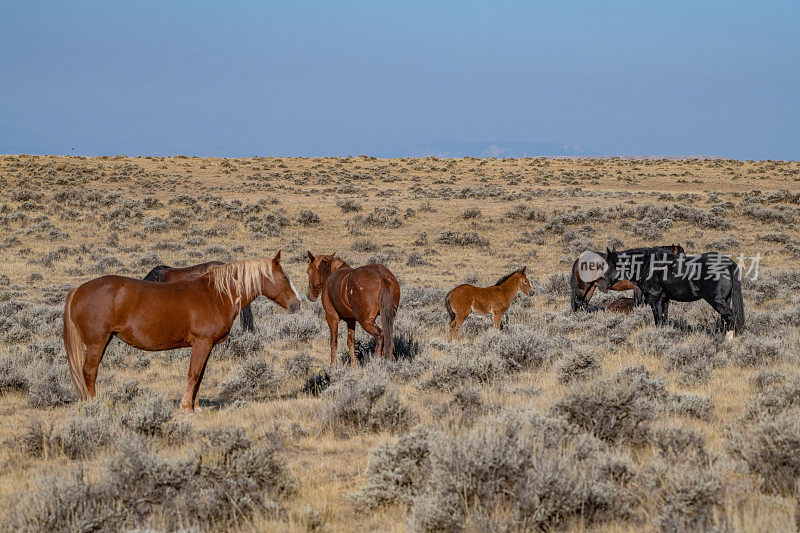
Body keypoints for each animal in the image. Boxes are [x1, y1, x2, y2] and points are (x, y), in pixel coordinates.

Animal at [62, 250, 300, 412]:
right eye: (285, 277)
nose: (297, 304)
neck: (216, 294)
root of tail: (78, 290)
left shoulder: (206, 345)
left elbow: (200, 374)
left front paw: (196, 407)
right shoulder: (202, 342)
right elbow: (193, 373)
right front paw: (186, 407)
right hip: (97, 342)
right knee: (89, 372)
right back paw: (93, 405)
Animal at [604, 246, 748, 336]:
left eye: (610, 264)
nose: (605, 281)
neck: (648, 265)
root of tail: (728, 264)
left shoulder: (655, 299)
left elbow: (658, 320)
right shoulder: (664, 300)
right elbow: (664, 319)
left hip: (716, 300)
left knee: (730, 316)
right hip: (725, 299)